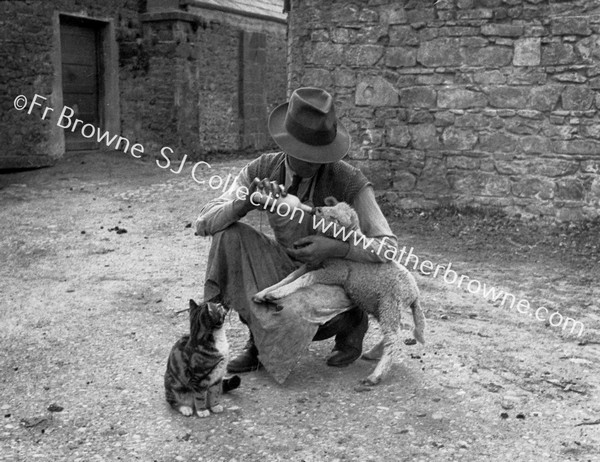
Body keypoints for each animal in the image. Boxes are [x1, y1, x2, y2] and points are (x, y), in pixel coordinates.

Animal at [253, 197, 426, 384]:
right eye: (333, 206)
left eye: (336, 220)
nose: (318, 209)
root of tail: (415, 293)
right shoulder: (312, 263)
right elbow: (290, 277)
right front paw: (265, 293)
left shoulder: (336, 272)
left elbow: (306, 278)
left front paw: (276, 294)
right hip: (381, 306)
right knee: (396, 331)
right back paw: (373, 354)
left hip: (390, 305)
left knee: (394, 339)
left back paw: (376, 376)